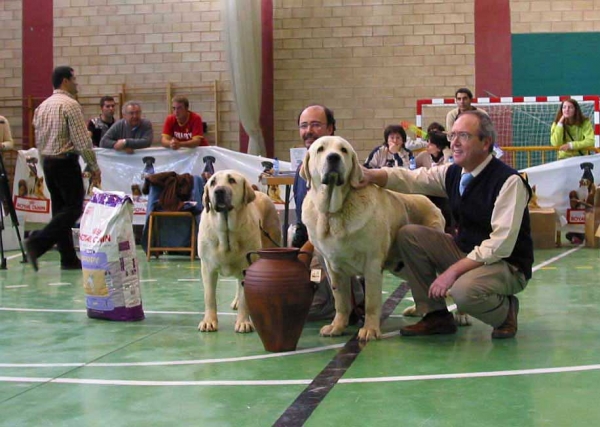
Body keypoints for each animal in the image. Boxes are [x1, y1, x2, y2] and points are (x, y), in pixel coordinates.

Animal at [197, 171, 282, 334]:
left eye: (231, 180)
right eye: (212, 183)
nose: (219, 191)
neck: (227, 234)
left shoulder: (247, 266)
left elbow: (244, 299)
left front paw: (243, 322)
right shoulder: (207, 268)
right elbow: (209, 297)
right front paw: (209, 321)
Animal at [300, 135, 446, 342]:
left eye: (343, 150)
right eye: (320, 149)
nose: (333, 157)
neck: (334, 212)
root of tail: (429, 201)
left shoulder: (372, 264)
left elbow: (371, 301)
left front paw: (369, 330)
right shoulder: (333, 267)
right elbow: (341, 301)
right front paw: (337, 326)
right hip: (399, 265)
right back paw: (417, 310)